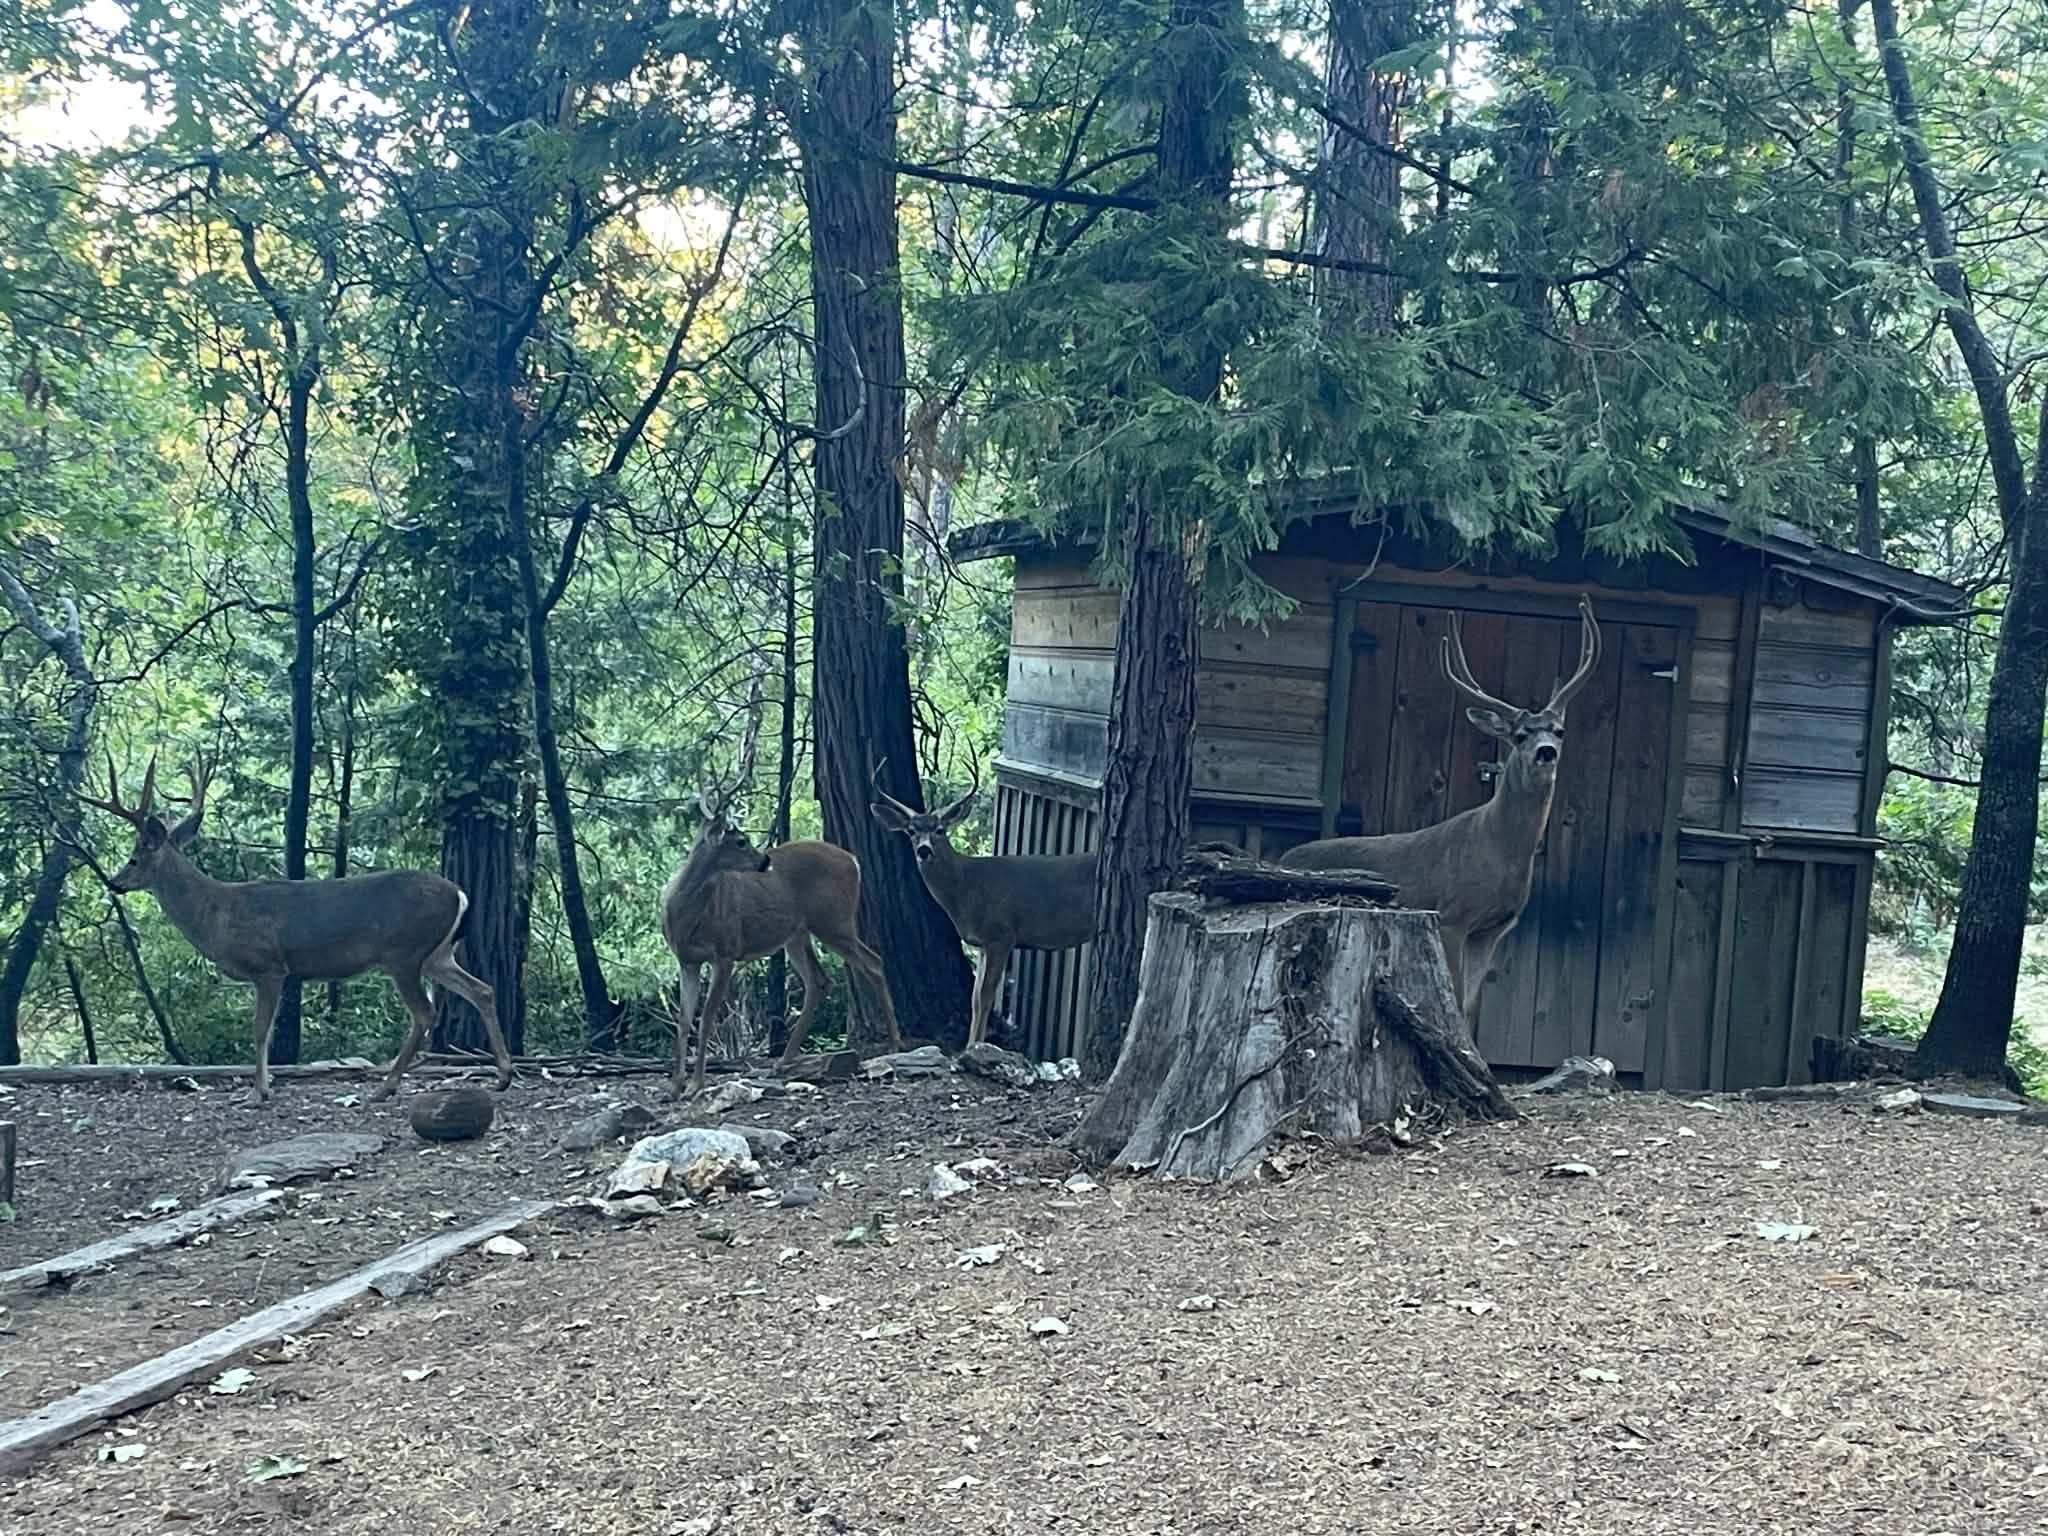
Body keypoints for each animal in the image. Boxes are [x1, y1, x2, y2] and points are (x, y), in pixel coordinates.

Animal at [83, 754, 514, 1104]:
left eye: (134, 858)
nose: (114, 883)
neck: (216, 914)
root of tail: (460, 893)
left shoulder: (270, 967)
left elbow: (260, 1030)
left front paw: (259, 1092)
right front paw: (262, 1087)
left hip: (404, 952)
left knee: (425, 1014)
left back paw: (385, 1087)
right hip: (437, 955)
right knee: (483, 990)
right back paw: (503, 1076)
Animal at [657, 714, 901, 1098]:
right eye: (741, 841)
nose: (765, 860)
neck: (686, 915)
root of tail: (854, 861)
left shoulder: (726, 950)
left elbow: (707, 1016)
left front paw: (696, 1083)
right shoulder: (686, 959)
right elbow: (683, 1020)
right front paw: (675, 1085)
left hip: (834, 921)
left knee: (873, 962)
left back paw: (894, 1043)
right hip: (797, 933)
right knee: (820, 980)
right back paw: (784, 1060)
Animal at [869, 761, 1096, 1049]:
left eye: (940, 830)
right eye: (911, 832)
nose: (924, 850)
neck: (969, 889)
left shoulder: (1002, 934)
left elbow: (987, 996)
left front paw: (975, 1046)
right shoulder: (981, 944)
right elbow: (974, 999)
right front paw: (970, 1044)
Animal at [1280, 595, 1603, 1025]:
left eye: (1559, 731)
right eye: (1520, 735)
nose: (1546, 752)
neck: (1498, 847)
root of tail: (1283, 857)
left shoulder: (1492, 929)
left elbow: (1471, 1008)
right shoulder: (1451, 914)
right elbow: (1457, 1001)